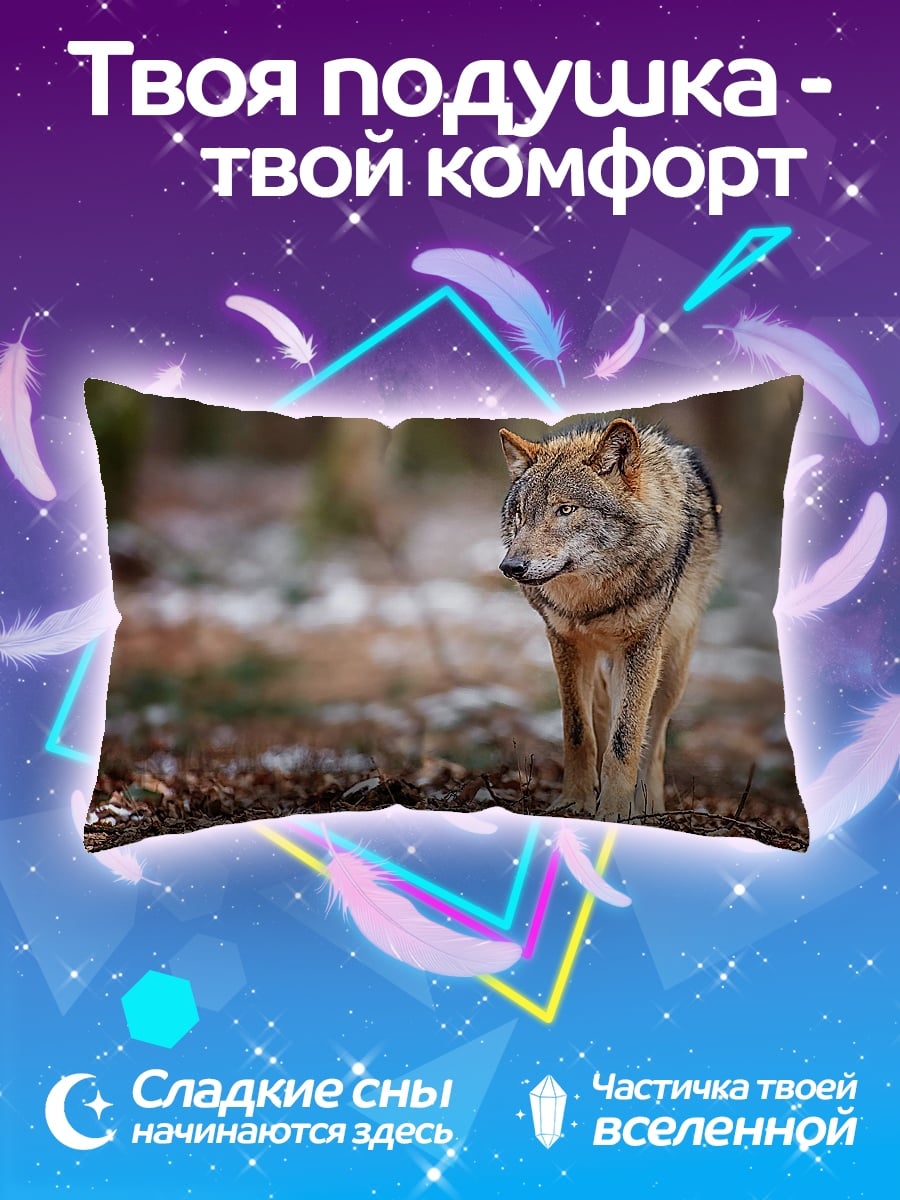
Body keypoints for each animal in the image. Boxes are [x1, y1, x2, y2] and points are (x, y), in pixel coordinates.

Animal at [498, 418, 721, 820]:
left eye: (565, 510)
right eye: (521, 513)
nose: (511, 567)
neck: (593, 598)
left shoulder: (641, 649)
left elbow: (626, 739)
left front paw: (616, 812)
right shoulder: (563, 642)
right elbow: (577, 730)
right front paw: (575, 801)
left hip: (671, 669)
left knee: (655, 738)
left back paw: (650, 806)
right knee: (601, 712)